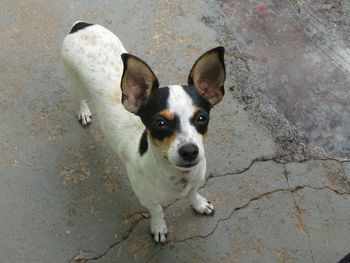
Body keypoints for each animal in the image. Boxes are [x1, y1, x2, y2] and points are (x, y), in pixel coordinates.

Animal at [62, 21, 227, 244]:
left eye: (202, 118)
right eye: (159, 122)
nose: (190, 151)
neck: (176, 176)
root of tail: (80, 26)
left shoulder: (195, 181)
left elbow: (193, 194)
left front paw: (199, 203)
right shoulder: (146, 198)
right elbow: (157, 210)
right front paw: (159, 227)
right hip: (75, 83)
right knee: (79, 99)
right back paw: (83, 111)